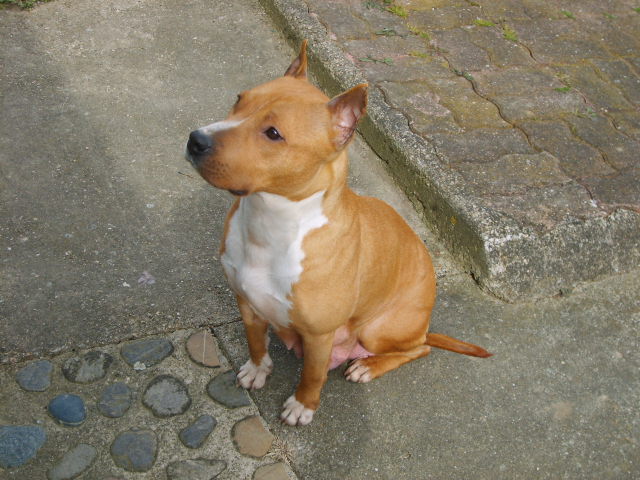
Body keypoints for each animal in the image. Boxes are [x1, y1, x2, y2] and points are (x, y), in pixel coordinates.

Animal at [185, 41, 491, 426]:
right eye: (239, 99)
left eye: (273, 133)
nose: (195, 140)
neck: (270, 221)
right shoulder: (247, 304)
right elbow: (256, 344)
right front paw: (257, 370)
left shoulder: (319, 336)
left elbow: (312, 375)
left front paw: (303, 405)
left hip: (379, 331)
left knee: (419, 349)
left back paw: (368, 367)